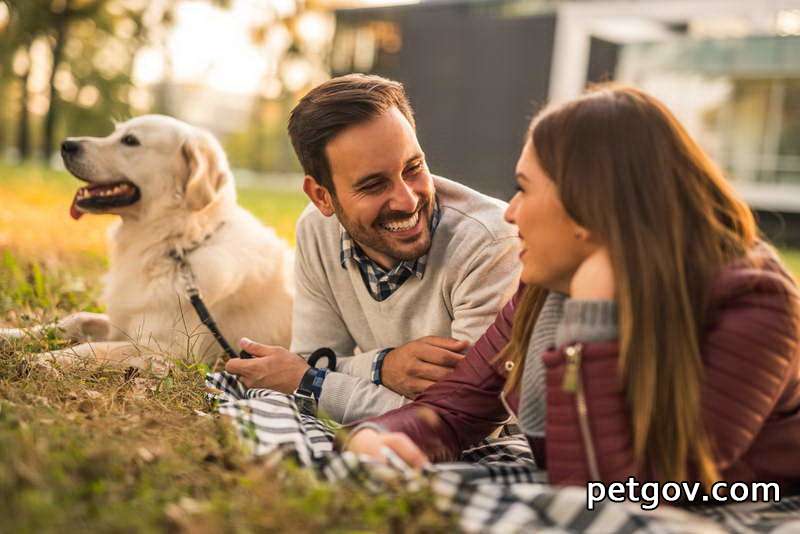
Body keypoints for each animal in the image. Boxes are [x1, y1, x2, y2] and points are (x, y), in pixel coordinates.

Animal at [0, 114, 294, 372]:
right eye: (115, 132)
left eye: (130, 140)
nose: (66, 144)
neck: (177, 244)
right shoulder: (120, 321)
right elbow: (76, 319)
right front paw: (10, 334)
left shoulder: (164, 348)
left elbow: (92, 348)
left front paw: (43, 359)